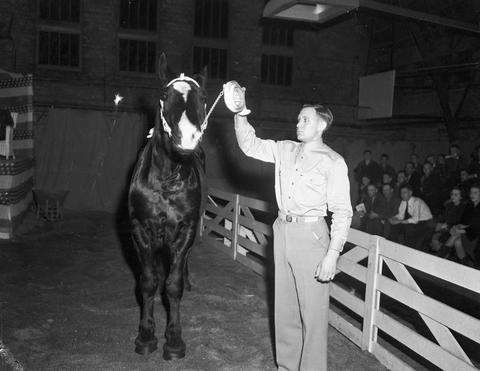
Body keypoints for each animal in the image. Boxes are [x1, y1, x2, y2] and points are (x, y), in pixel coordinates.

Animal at [128, 53, 207, 358]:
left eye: (203, 97)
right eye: (164, 94)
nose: (187, 140)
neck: (166, 181)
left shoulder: (185, 230)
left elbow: (173, 287)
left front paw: (173, 340)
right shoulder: (140, 230)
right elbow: (149, 282)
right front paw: (146, 336)